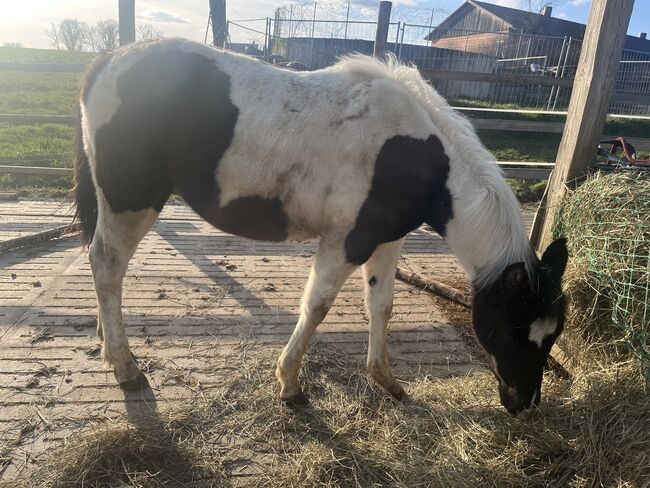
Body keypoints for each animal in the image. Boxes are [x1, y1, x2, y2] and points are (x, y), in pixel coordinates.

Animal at [73, 38, 564, 414]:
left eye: (552, 335)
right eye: (511, 330)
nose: (523, 404)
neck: (416, 155)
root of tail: (107, 61)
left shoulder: (387, 243)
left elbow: (381, 306)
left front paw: (388, 382)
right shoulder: (347, 242)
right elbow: (317, 306)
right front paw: (290, 384)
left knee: (104, 271)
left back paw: (107, 344)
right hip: (130, 202)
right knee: (107, 266)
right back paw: (126, 367)